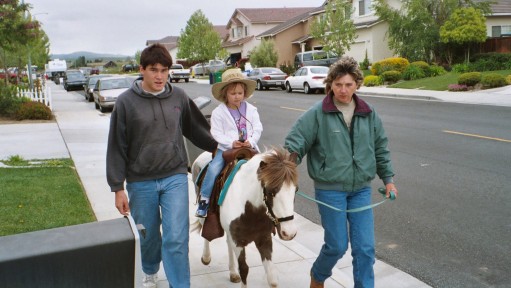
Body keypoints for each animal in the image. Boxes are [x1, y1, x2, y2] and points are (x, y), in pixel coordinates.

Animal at [190, 147, 298, 286]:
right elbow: (244, 269)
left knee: (227, 242)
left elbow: (272, 278)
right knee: (205, 230)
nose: (289, 233)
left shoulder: (263, 239)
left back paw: (232, 273)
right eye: (270, 192)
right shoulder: (238, 242)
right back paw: (206, 257)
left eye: (295, 190)